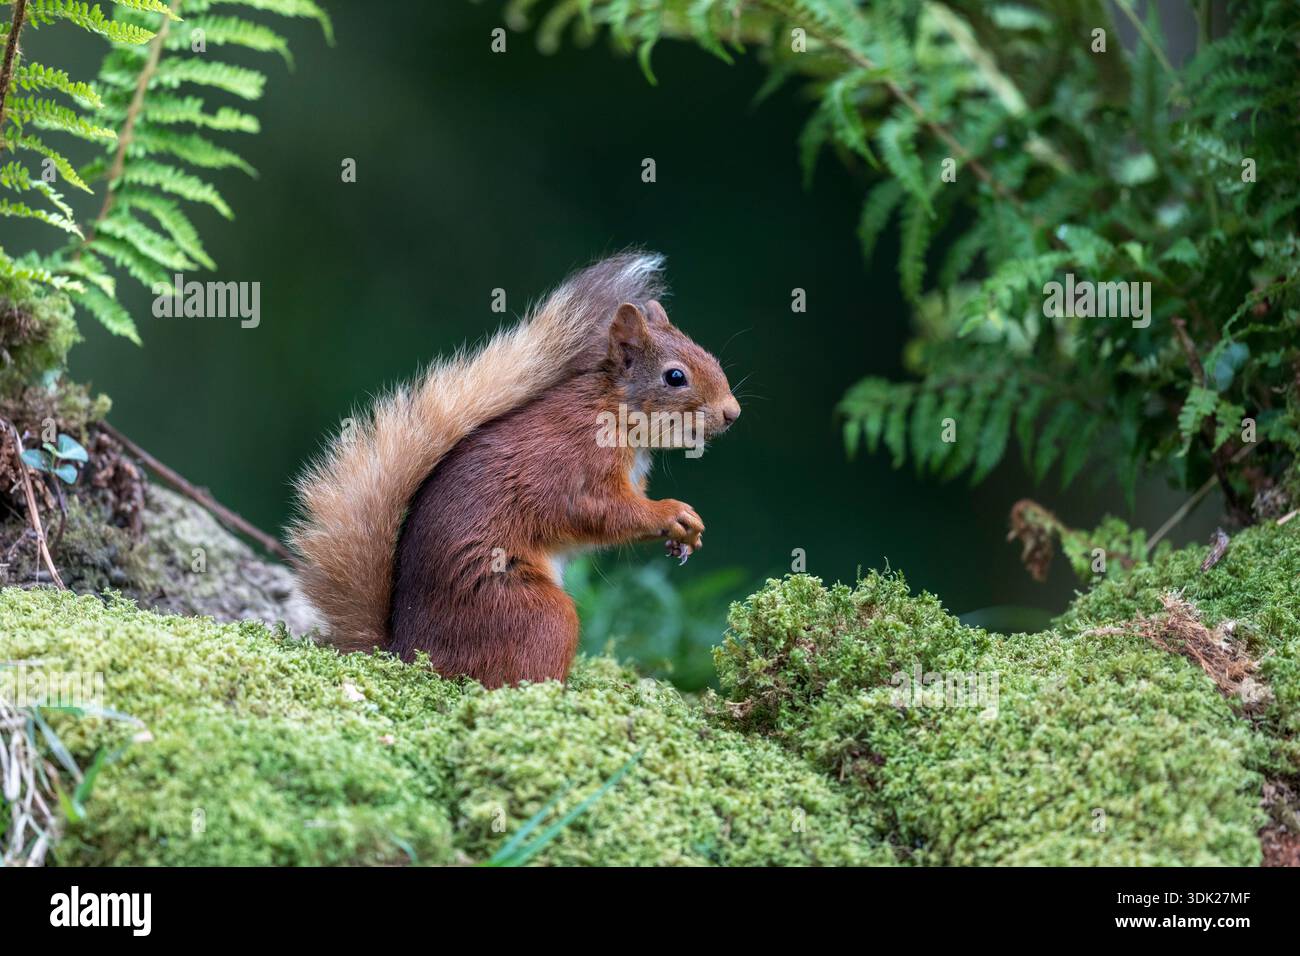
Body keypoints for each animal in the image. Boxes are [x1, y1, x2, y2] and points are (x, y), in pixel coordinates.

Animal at [290, 253, 741, 687]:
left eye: (710, 356)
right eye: (675, 376)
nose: (732, 413)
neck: (615, 410)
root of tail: (412, 654)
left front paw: (684, 539)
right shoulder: (576, 463)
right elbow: (600, 511)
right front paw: (673, 513)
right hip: (531, 610)